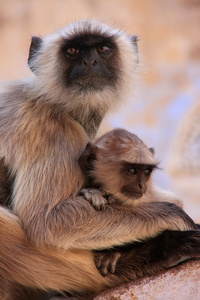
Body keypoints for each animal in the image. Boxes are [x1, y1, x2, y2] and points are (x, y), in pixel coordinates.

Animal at [0, 19, 200, 298]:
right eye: (72, 51)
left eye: (103, 49)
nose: (90, 62)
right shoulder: (47, 126)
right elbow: (47, 220)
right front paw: (174, 218)